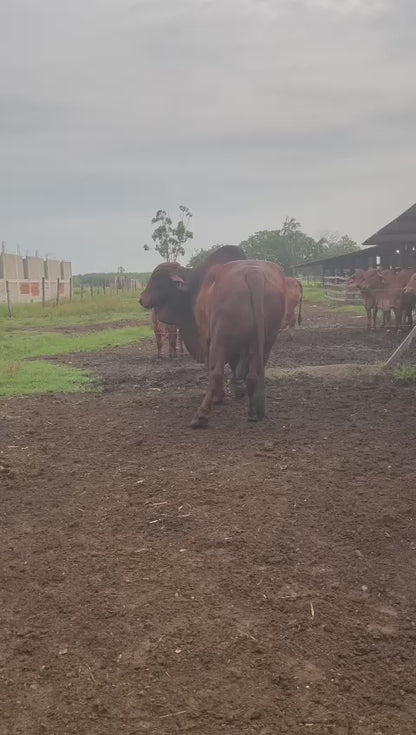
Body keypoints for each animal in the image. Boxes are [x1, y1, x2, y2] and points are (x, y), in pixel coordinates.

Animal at [138, 247, 284, 428]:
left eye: (157, 279)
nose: (141, 299)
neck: (193, 287)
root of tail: (253, 273)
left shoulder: (205, 339)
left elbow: (212, 368)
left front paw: (220, 397)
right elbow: (236, 368)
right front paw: (238, 391)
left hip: (220, 341)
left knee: (216, 373)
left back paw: (201, 415)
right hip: (264, 342)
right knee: (252, 375)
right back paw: (252, 412)